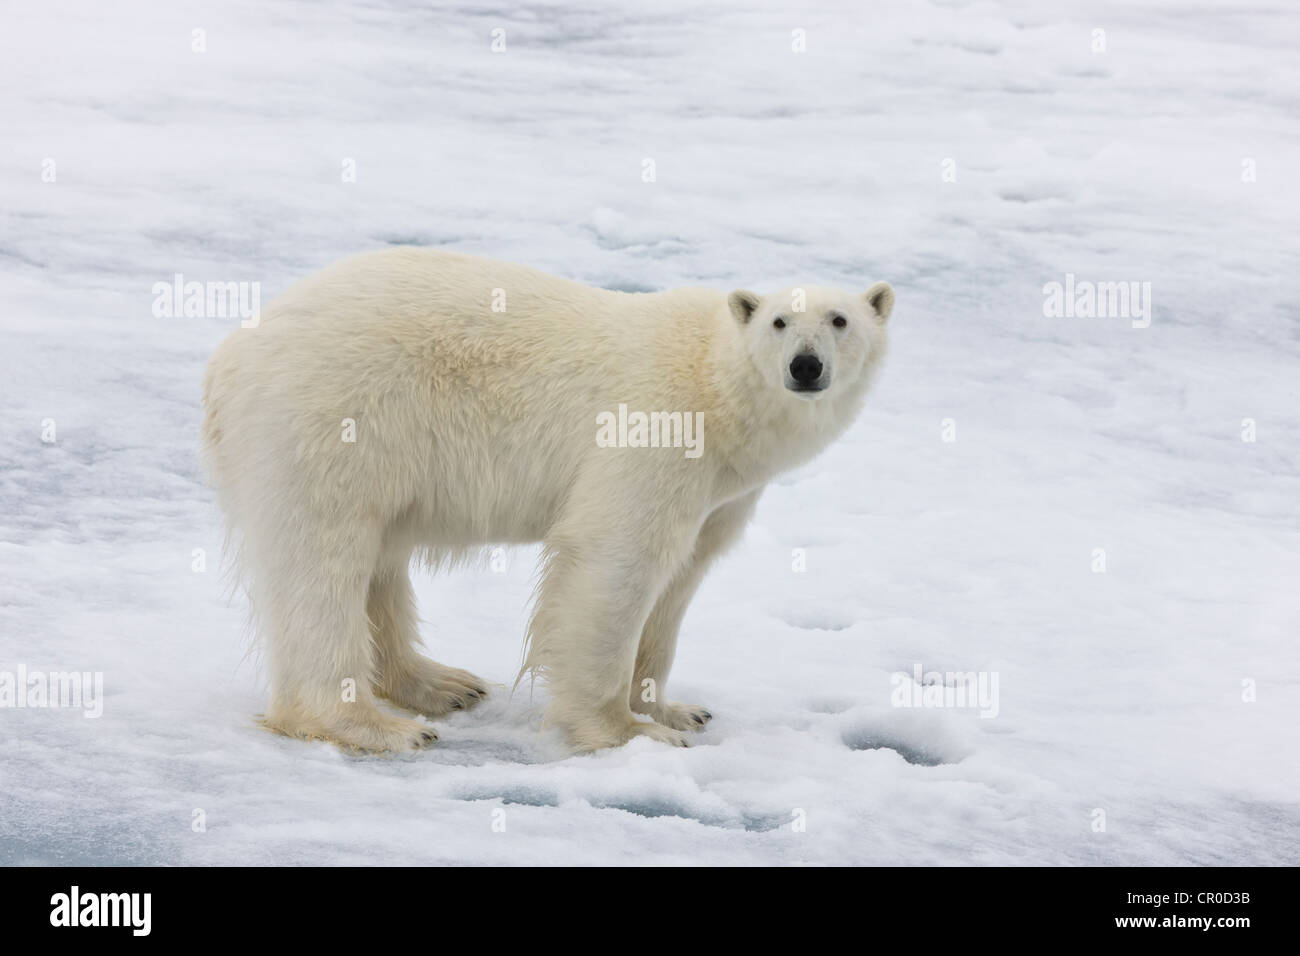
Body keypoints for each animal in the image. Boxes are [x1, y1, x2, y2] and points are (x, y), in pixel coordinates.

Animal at [200, 248, 894, 754]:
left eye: (840, 321)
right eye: (780, 322)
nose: (805, 366)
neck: (713, 388)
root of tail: (231, 356)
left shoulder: (722, 491)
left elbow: (681, 577)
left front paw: (676, 710)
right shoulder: (652, 432)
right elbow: (615, 559)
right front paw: (628, 730)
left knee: (377, 560)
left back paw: (441, 685)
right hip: (334, 417)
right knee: (322, 561)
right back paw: (378, 725)